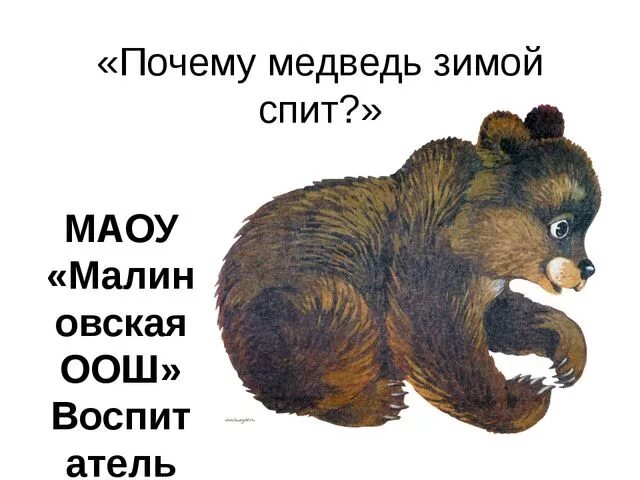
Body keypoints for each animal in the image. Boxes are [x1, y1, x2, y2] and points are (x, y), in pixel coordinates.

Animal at [216, 105, 601, 433]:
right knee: (336, 330)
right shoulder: (423, 257)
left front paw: (567, 350)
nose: (588, 269)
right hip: (300, 309)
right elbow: (438, 344)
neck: (473, 243)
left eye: (587, 225)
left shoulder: (484, 286)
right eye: (561, 227)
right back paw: (375, 401)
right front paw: (524, 396)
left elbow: (504, 319)